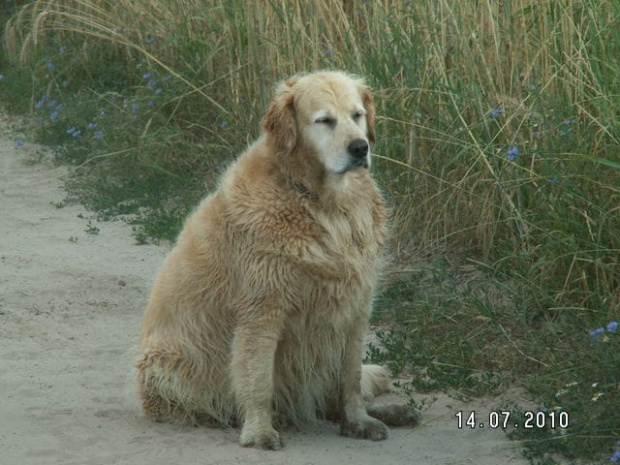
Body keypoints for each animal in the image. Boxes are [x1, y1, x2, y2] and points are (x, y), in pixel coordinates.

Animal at [136, 70, 416, 448]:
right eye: (324, 120)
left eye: (357, 115)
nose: (360, 148)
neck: (322, 202)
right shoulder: (263, 309)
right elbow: (258, 379)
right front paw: (259, 431)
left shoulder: (355, 303)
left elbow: (351, 378)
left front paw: (359, 421)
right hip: (166, 362)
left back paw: (392, 412)